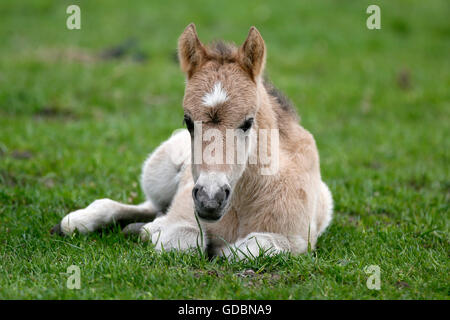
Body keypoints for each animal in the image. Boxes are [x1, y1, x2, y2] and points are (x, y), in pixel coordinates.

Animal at [53, 23, 334, 260]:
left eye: (248, 122)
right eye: (187, 120)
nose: (210, 199)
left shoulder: (296, 241)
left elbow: (246, 249)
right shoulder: (183, 219)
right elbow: (182, 242)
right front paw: (152, 231)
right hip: (159, 173)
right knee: (148, 205)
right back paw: (79, 221)